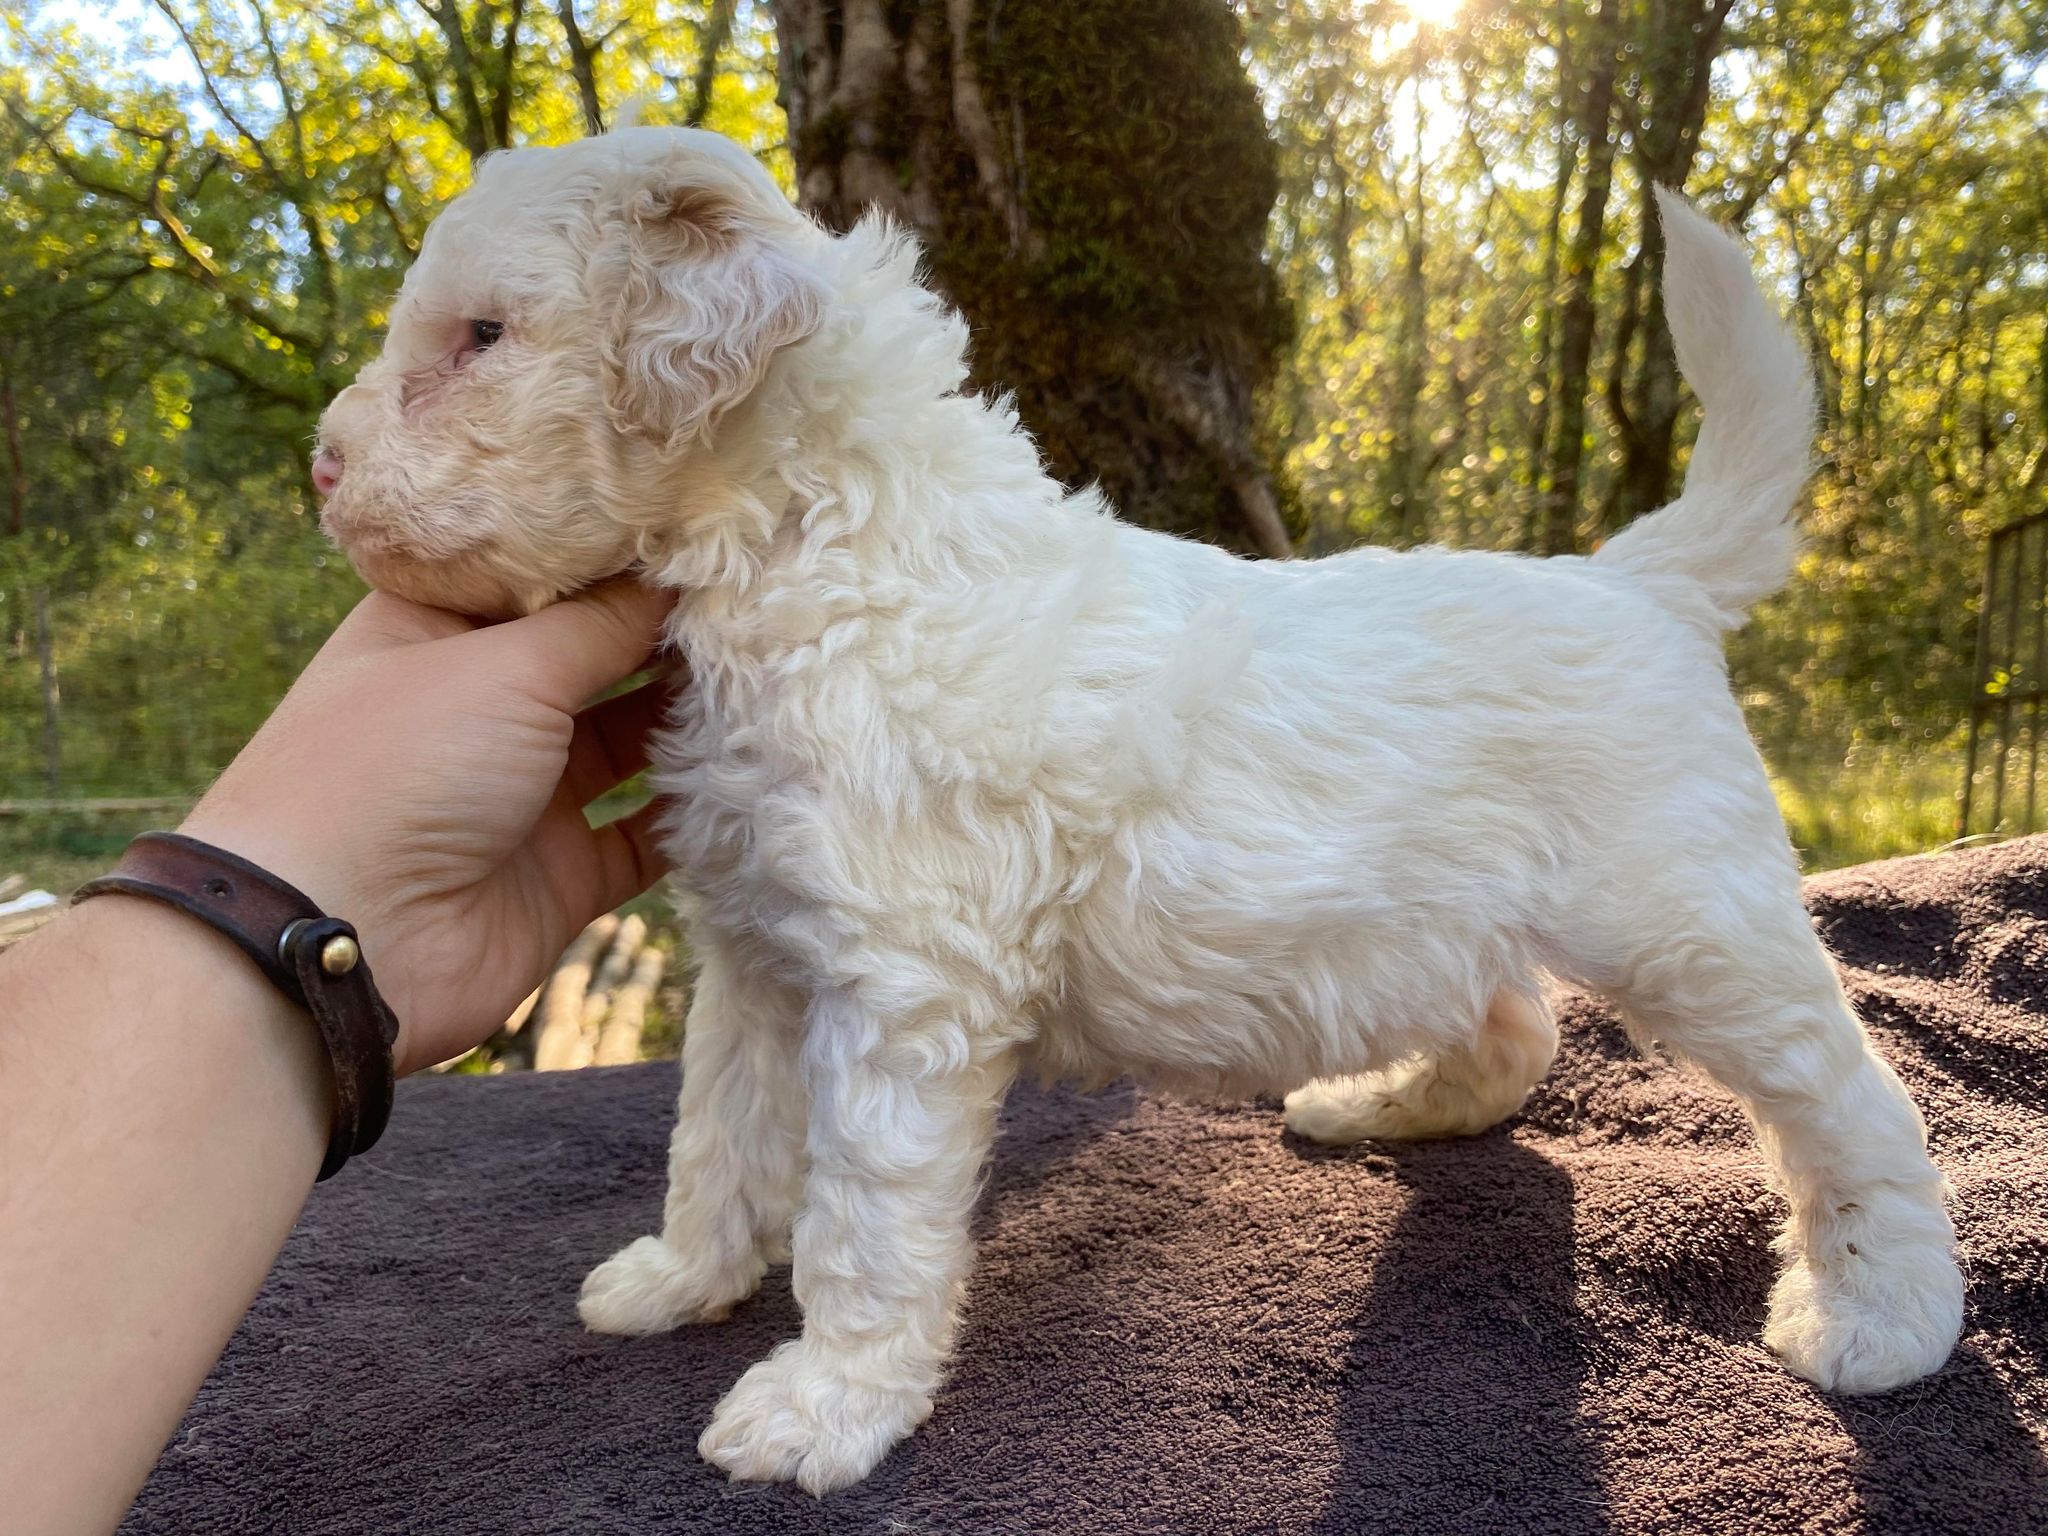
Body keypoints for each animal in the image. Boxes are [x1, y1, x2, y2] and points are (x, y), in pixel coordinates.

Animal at [315, 126, 1966, 1499]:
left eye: (481, 336)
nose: (325, 468)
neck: (812, 550)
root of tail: (1638, 579)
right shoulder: (757, 954)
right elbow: (714, 1134)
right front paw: (675, 1279)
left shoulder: (901, 992)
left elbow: (861, 1218)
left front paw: (821, 1407)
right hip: (1452, 909)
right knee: (1517, 1029)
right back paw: (1385, 1106)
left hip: (1693, 920)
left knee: (1850, 1104)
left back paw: (1880, 1317)